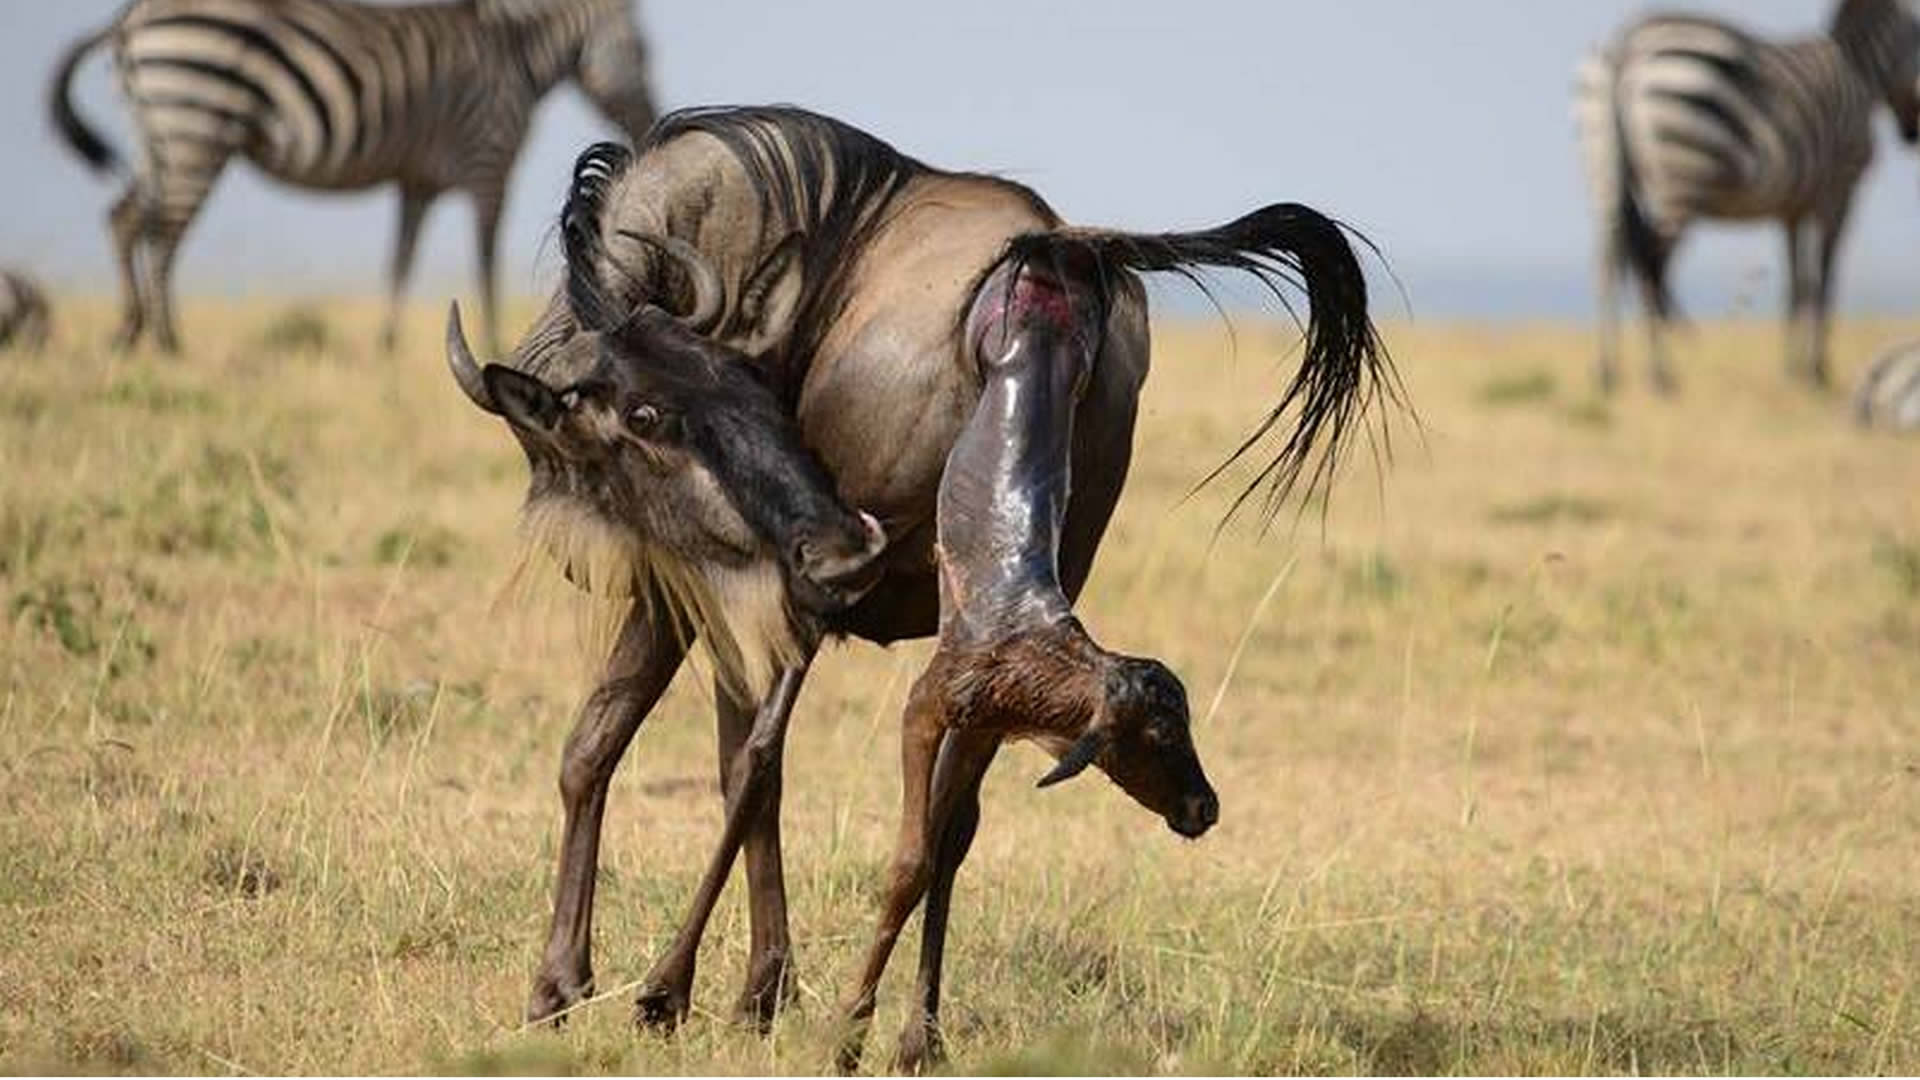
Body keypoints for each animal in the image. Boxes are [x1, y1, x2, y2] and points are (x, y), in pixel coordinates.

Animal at [46, 0, 660, 353]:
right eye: (643, 49)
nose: (648, 121)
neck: (519, 56)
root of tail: (127, 20)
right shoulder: (489, 161)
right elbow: (485, 259)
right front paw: (494, 337)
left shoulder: (416, 181)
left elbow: (400, 260)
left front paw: (387, 346)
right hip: (196, 119)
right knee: (164, 233)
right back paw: (168, 340)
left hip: (160, 134)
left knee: (125, 218)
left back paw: (128, 332)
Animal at [455, 105, 1405, 1060]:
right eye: (655, 413)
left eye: (749, 394)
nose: (836, 549)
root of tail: (1051, 259)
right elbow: (739, 769)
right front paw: (765, 992)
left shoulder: (701, 583)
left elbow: (615, 749)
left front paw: (570, 986)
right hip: (994, 624)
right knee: (945, 820)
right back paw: (914, 1034)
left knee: (778, 765)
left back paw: (678, 989)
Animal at [1574, 0, 1920, 393]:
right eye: (1918, 36)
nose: (1913, 132)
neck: (1860, 71)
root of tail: (1624, 46)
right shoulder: (1838, 189)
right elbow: (1823, 279)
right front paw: (1817, 369)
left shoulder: (1792, 207)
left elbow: (1796, 283)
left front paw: (1792, 367)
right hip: (1681, 174)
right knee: (1651, 263)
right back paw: (1660, 373)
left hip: (1603, 169)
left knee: (1609, 259)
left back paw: (1608, 370)